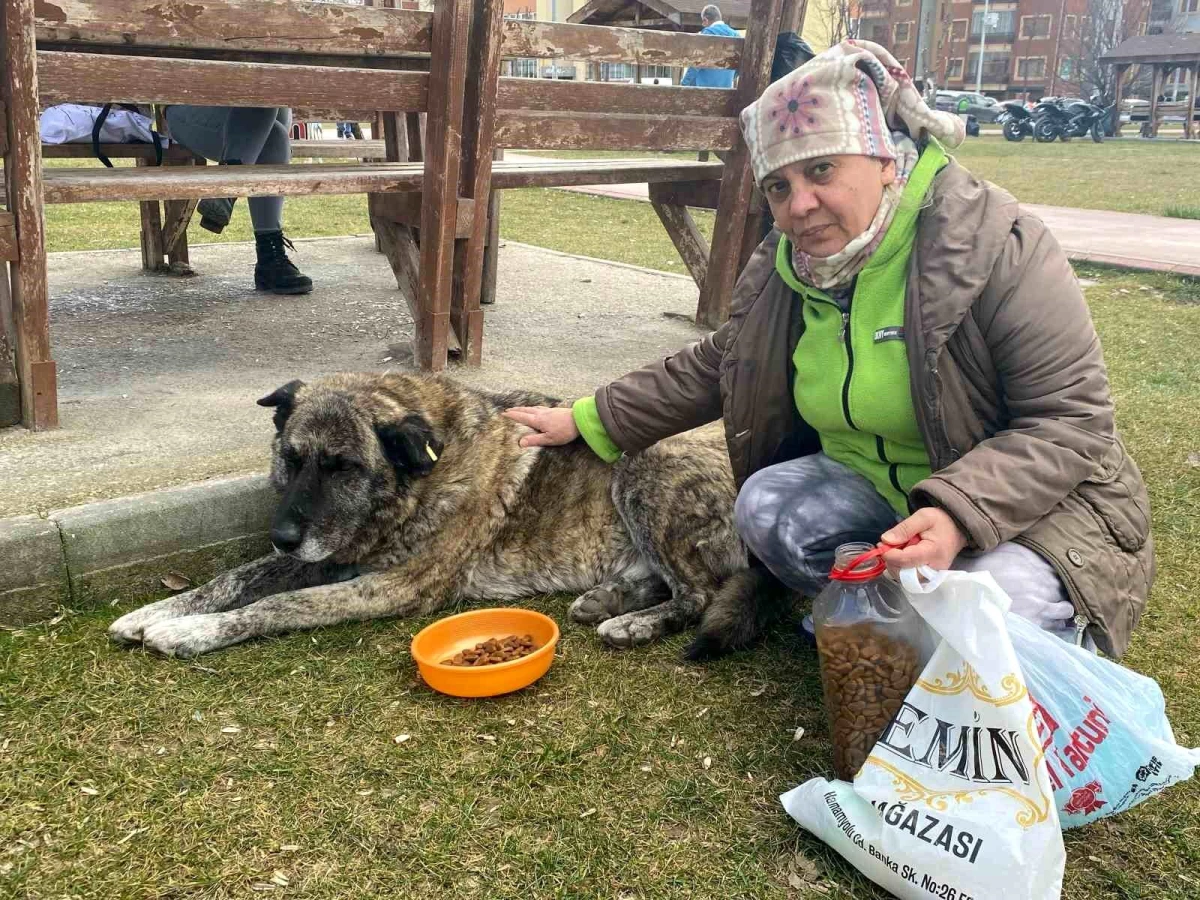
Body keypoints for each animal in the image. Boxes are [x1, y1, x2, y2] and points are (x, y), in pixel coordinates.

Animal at [112, 369, 777, 657]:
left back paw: (637, 623)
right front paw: (156, 611)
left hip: (648, 464)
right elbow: (235, 578)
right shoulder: (330, 555)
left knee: (697, 593)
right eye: (292, 459)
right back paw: (610, 599)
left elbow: (278, 605)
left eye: (342, 467)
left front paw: (193, 632)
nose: (281, 535)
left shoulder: (391, 585)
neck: (423, 471)